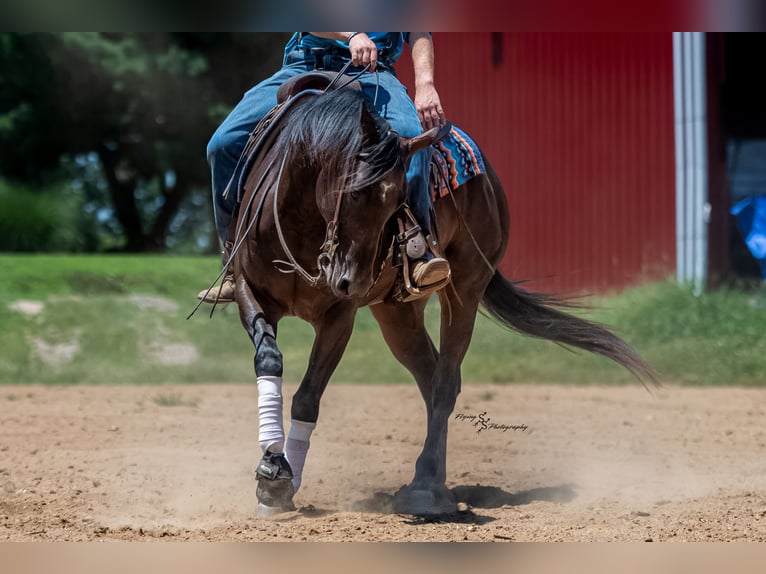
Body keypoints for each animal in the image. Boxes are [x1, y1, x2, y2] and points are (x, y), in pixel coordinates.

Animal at [219, 73, 656, 516]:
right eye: (353, 192)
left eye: (398, 202)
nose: (351, 281)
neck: (303, 222)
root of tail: (489, 177)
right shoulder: (250, 291)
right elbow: (269, 360)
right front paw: (274, 470)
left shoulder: (339, 316)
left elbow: (309, 395)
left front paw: (278, 483)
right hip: (397, 314)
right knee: (431, 378)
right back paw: (433, 481)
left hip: (465, 288)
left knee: (446, 382)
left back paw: (426, 488)